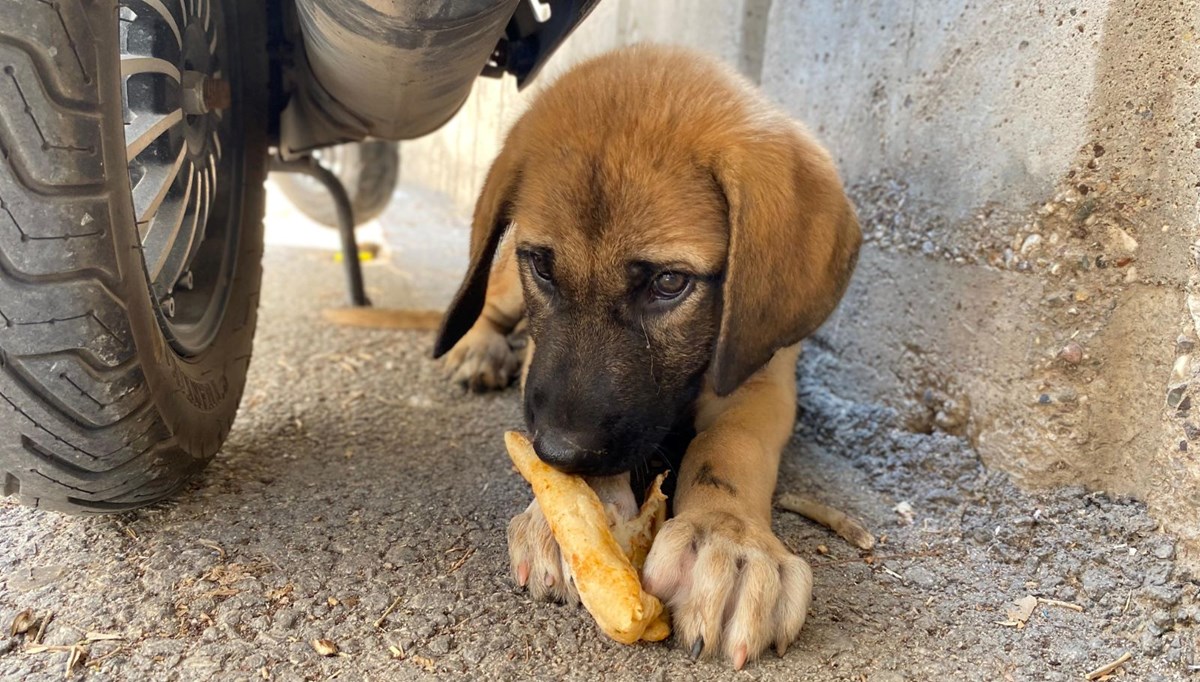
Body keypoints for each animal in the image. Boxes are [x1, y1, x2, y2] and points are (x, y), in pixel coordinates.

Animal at [434, 45, 864, 667]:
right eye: (542, 265)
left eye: (668, 283)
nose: (560, 452)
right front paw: (569, 514)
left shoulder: (763, 376)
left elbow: (729, 446)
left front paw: (727, 539)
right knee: (489, 299)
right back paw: (478, 347)